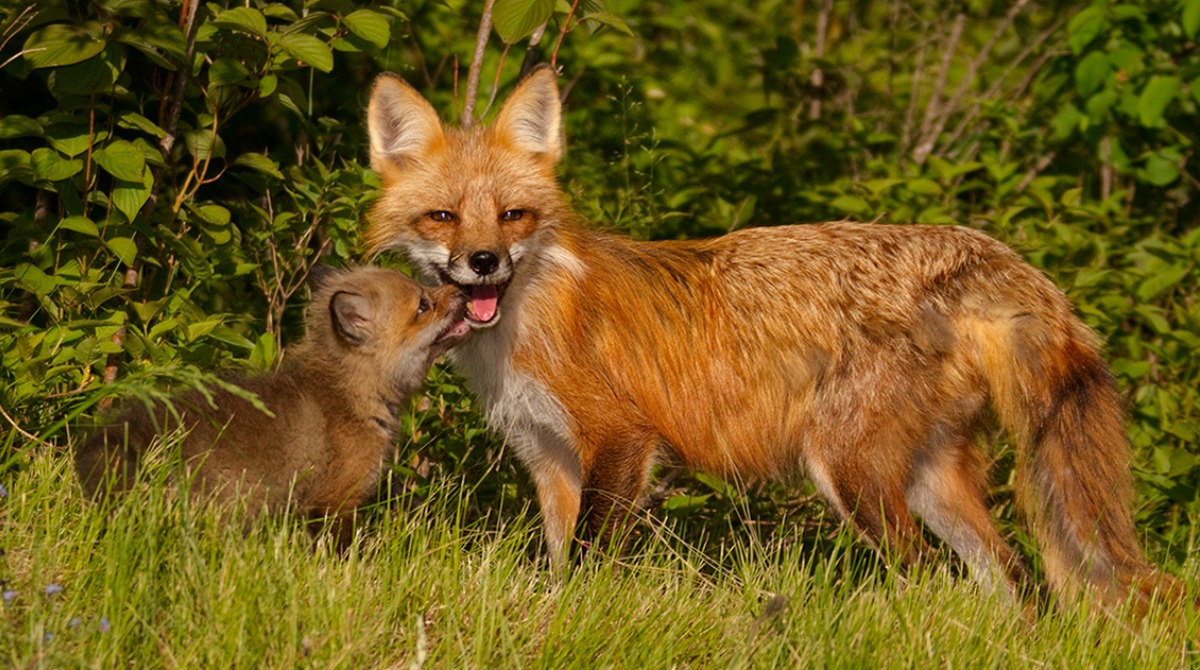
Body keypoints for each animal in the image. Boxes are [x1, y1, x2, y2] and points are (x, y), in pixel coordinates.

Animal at [364, 64, 1182, 609]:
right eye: (443, 217)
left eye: (513, 216)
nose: (483, 262)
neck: (529, 314)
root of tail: (979, 252)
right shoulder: (549, 459)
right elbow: (564, 562)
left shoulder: (622, 438)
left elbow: (592, 562)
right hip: (929, 479)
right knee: (1010, 579)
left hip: (851, 472)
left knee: (928, 578)